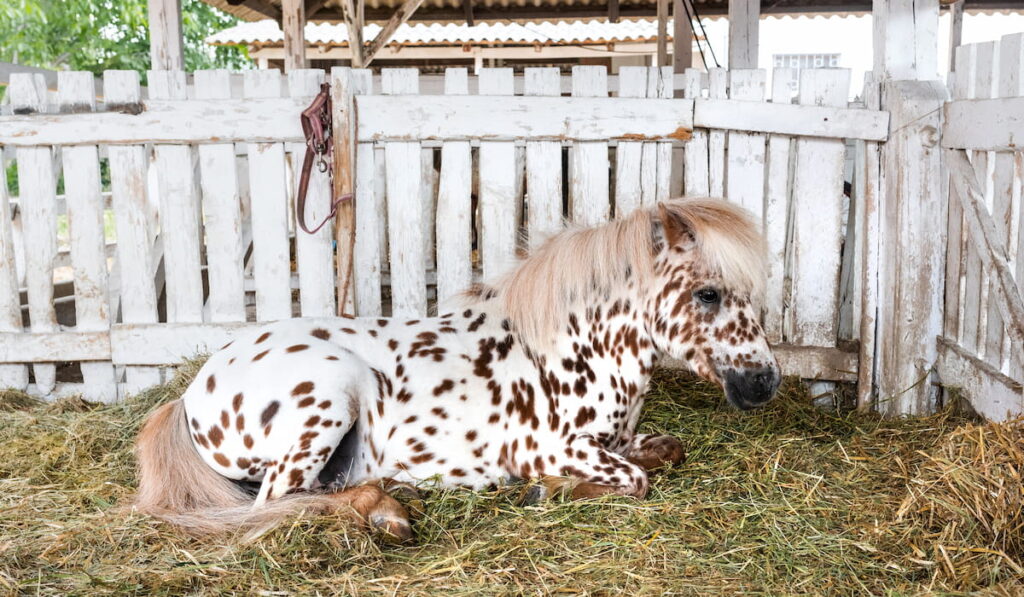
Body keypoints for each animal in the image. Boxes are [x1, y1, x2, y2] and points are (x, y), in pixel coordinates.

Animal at [132, 197, 778, 540]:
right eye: (708, 294)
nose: (764, 381)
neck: (573, 348)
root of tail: (190, 394)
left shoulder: (617, 439)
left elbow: (665, 452)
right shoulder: (554, 447)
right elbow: (634, 481)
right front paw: (545, 490)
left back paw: (391, 497)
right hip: (331, 397)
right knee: (277, 504)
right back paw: (389, 514)